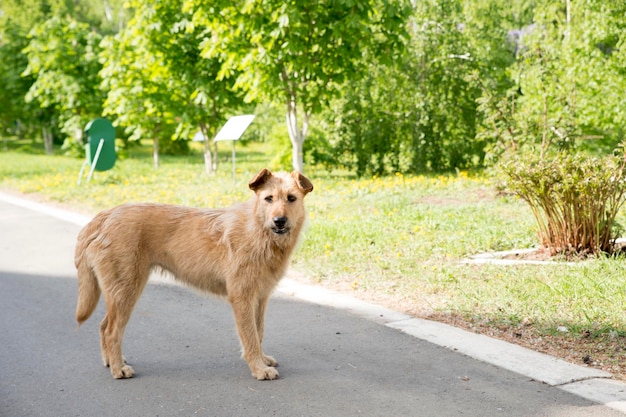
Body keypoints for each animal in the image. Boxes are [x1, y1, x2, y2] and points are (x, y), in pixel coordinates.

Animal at [73, 169, 312, 380]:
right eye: (268, 198)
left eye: (291, 198)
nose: (279, 221)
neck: (258, 229)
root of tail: (104, 216)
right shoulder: (242, 298)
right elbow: (250, 337)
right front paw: (259, 369)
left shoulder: (260, 298)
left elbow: (259, 332)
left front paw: (262, 360)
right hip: (126, 291)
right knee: (112, 331)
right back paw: (118, 369)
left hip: (120, 293)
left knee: (103, 326)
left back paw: (111, 362)